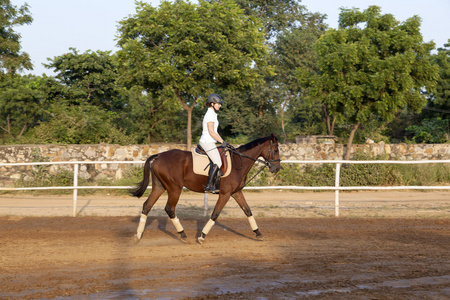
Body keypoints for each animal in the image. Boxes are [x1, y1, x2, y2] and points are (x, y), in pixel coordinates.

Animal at [130, 135, 284, 243]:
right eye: (276, 150)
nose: (277, 168)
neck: (238, 162)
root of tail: (159, 155)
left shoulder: (236, 193)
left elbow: (248, 211)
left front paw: (258, 234)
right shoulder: (225, 194)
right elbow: (215, 214)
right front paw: (202, 236)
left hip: (159, 187)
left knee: (147, 206)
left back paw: (137, 235)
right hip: (175, 188)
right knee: (170, 208)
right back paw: (183, 235)